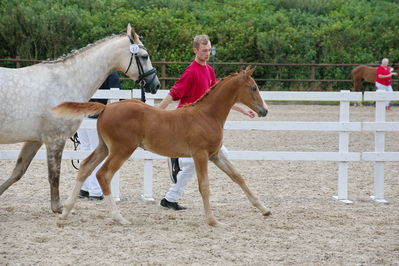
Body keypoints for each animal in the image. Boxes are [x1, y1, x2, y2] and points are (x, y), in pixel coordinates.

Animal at [0, 23, 159, 213]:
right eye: (144, 56)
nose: (155, 84)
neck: (65, 81)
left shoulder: (35, 140)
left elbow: (18, 172)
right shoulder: (56, 139)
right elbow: (54, 175)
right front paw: (58, 208)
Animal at [53, 67, 270, 227]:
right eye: (253, 88)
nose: (264, 111)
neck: (207, 115)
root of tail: (106, 107)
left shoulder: (215, 154)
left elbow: (238, 176)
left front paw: (264, 209)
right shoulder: (200, 154)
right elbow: (204, 186)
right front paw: (213, 221)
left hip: (104, 147)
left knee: (85, 167)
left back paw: (65, 212)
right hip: (122, 150)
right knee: (103, 174)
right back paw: (119, 218)